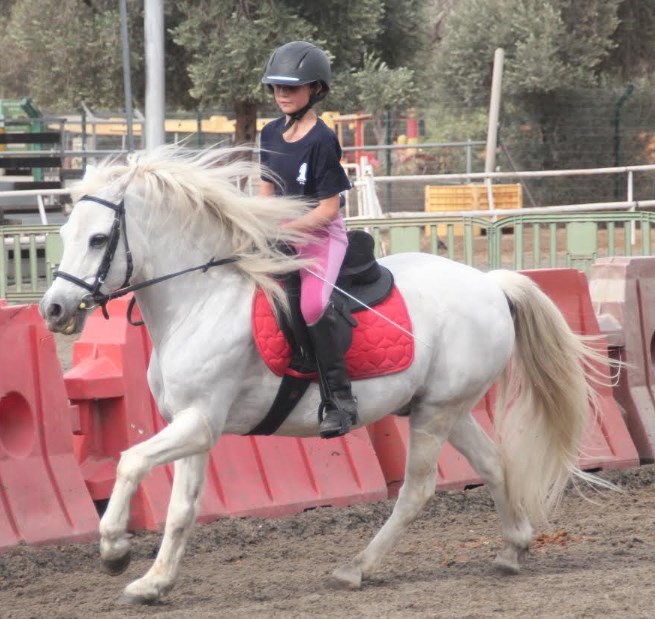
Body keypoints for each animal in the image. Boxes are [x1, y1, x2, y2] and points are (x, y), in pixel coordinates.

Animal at [39, 149, 604, 604]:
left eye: (98, 238)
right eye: (63, 235)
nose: (53, 309)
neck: (201, 300)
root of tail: (490, 282)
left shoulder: (200, 422)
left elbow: (130, 461)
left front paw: (114, 550)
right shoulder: (194, 426)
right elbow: (181, 509)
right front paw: (154, 583)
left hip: (437, 413)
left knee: (417, 490)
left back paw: (356, 569)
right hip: (443, 407)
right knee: (490, 463)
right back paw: (512, 549)